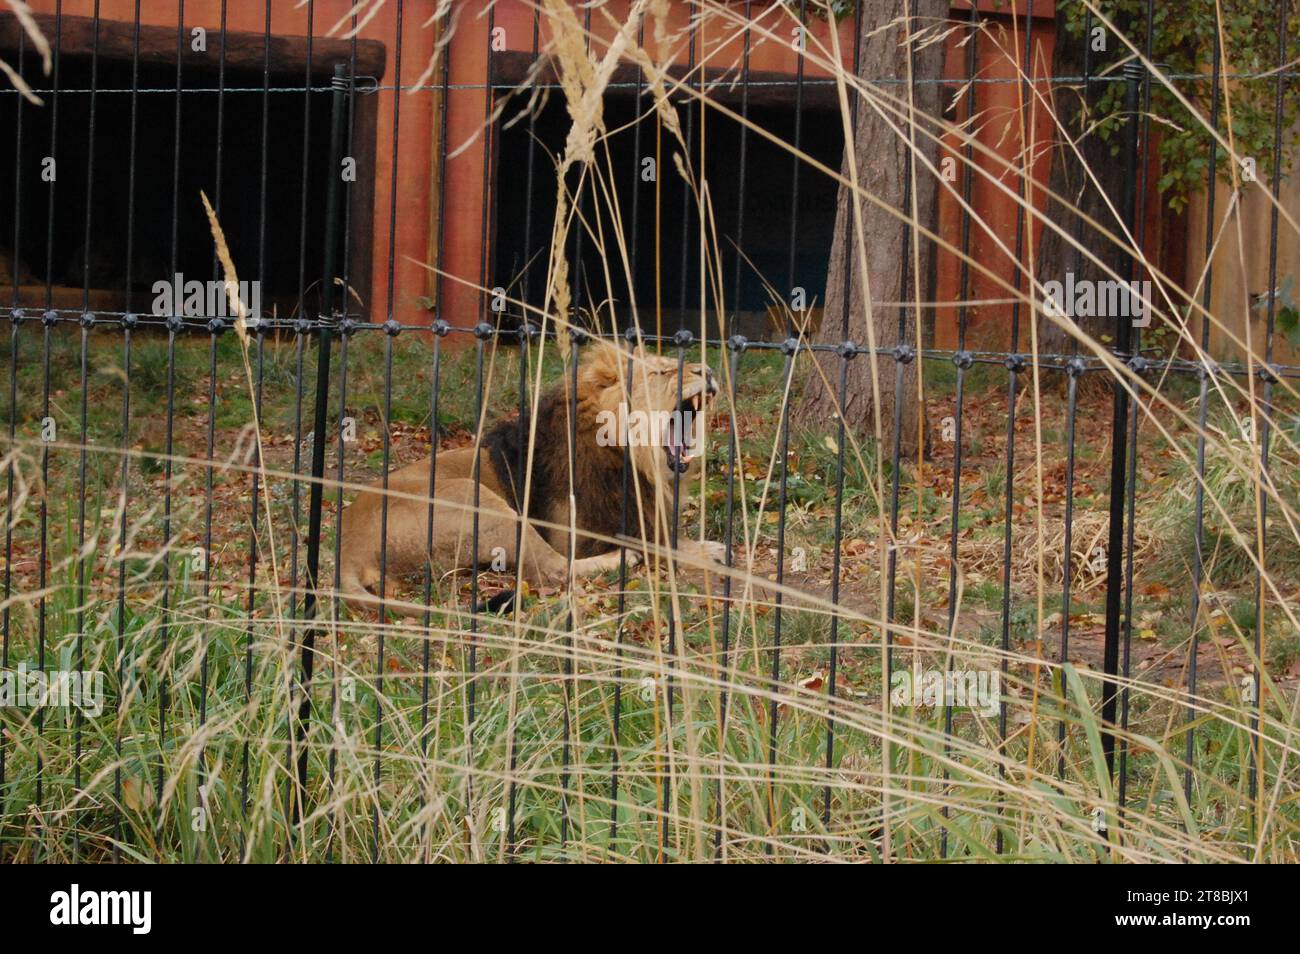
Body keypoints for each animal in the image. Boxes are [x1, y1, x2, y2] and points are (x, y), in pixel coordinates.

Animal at [338, 343, 722, 613]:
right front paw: (705, 555)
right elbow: (659, 546)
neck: (633, 459)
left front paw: (707, 546)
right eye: (663, 371)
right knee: (551, 569)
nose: (709, 369)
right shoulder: (578, 533)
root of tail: (347, 549)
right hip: (477, 499)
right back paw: (622, 559)